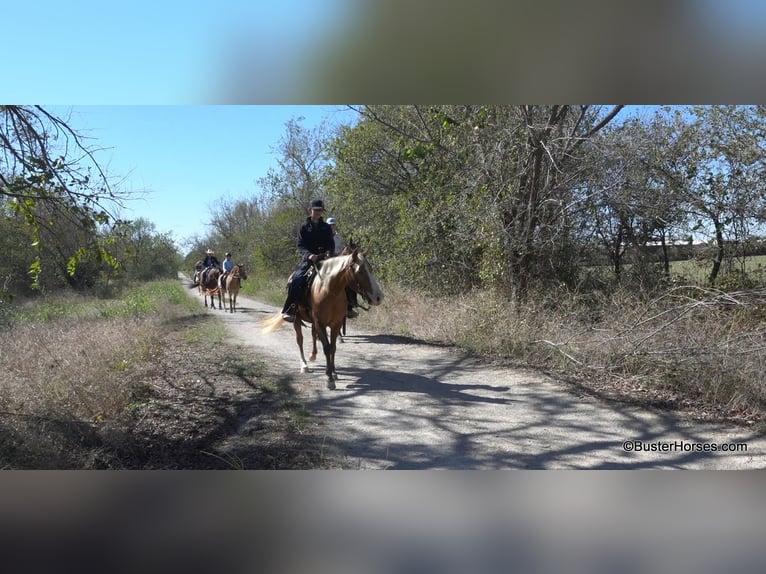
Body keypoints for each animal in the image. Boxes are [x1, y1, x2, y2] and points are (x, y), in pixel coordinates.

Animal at [262, 249, 384, 392]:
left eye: (370, 269)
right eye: (360, 271)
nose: (378, 297)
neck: (329, 291)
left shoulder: (335, 324)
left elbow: (333, 347)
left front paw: (334, 372)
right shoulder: (320, 323)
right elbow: (326, 348)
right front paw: (329, 378)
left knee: (313, 335)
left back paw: (313, 355)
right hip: (297, 320)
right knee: (300, 340)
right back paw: (304, 365)